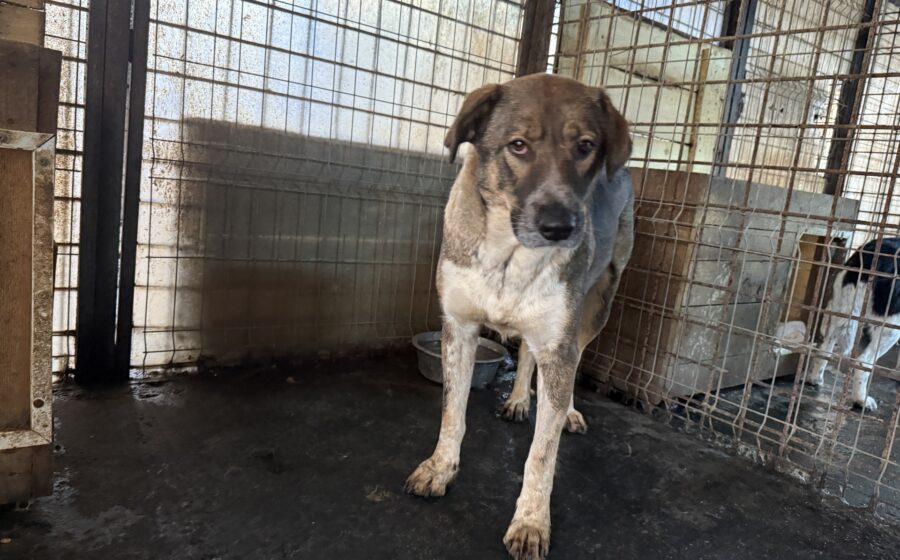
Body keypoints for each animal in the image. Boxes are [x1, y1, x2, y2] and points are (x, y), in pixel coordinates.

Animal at [404, 74, 634, 559]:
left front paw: (530, 521)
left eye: (585, 146)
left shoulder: (559, 343)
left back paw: (564, 410)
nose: (561, 227)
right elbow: (452, 412)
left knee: (572, 357)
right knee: (527, 351)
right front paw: (439, 469)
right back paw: (518, 399)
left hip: (598, 303)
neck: (511, 253)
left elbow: (543, 452)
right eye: (519, 145)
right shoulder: (459, 329)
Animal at [806, 237, 900, 412]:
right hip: (891, 327)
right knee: (863, 362)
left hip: (839, 310)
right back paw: (861, 400)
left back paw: (815, 379)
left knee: (824, 349)